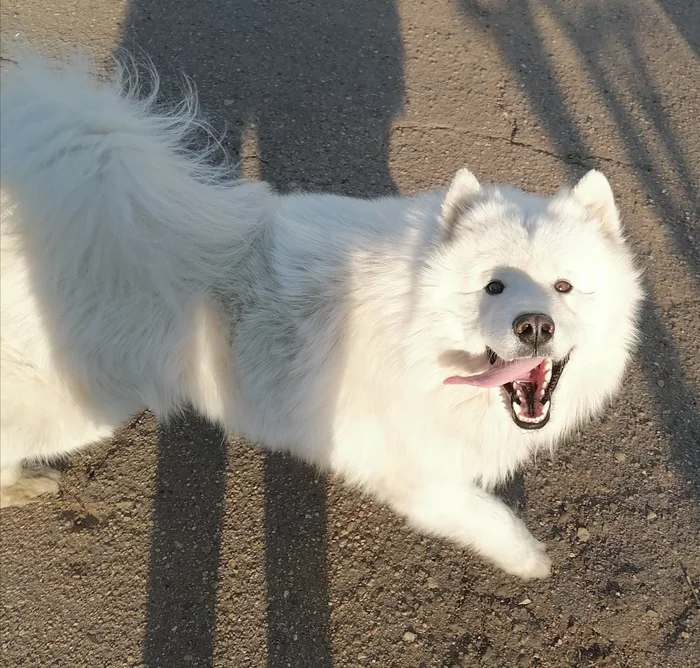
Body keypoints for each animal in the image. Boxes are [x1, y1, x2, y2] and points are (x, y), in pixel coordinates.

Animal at [1, 51, 644, 580]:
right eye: (493, 286)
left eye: (564, 286)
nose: (533, 325)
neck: (416, 335)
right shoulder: (418, 478)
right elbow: (489, 516)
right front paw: (531, 560)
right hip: (77, 406)